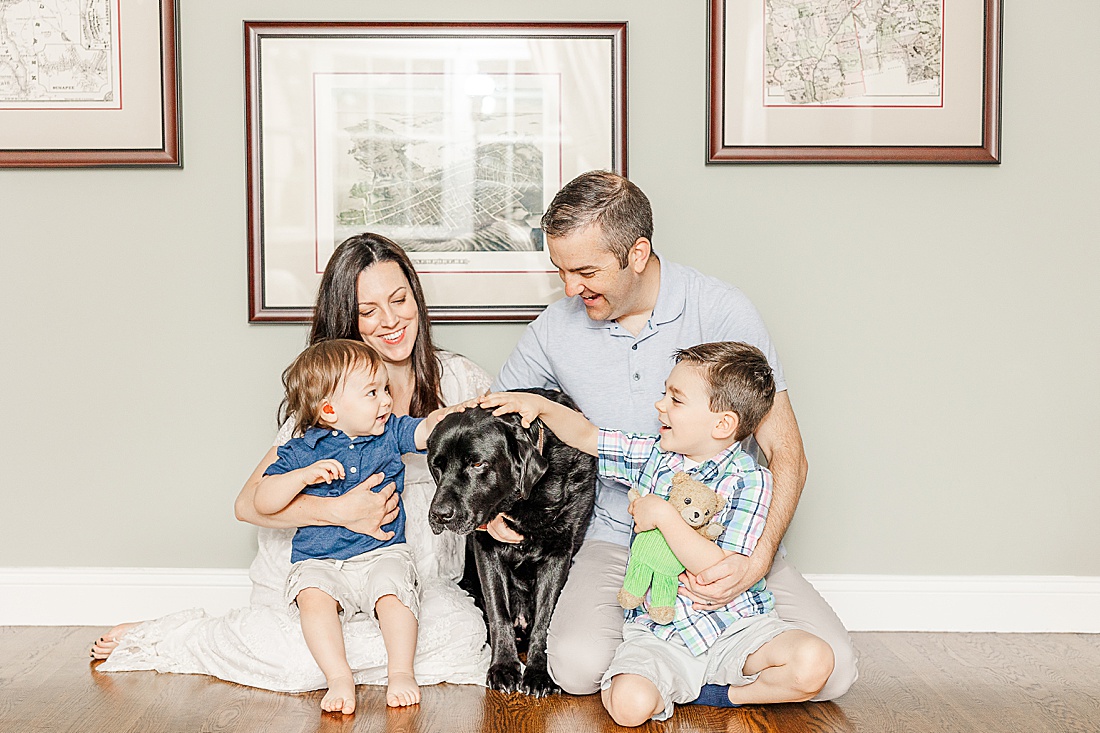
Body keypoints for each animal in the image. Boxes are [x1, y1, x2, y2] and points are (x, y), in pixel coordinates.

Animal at [426, 385, 598, 695]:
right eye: (437, 466)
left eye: (477, 463)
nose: (440, 514)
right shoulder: (486, 547)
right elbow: (499, 613)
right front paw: (504, 668)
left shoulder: (559, 552)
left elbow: (544, 618)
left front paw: (538, 674)